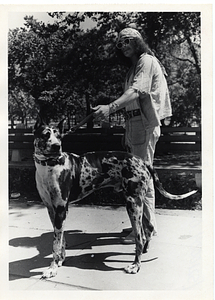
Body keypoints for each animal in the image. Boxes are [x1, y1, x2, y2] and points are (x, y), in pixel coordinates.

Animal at [33, 118, 197, 278]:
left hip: (132, 204)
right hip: (136, 203)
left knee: (140, 237)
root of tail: (142, 161)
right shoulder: (53, 210)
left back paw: (136, 266)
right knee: (148, 228)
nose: (57, 146)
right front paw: (60, 260)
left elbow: (55, 243)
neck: (49, 166)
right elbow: (61, 239)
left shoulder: (61, 209)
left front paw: (52, 268)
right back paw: (143, 252)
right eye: (45, 135)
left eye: (59, 136)